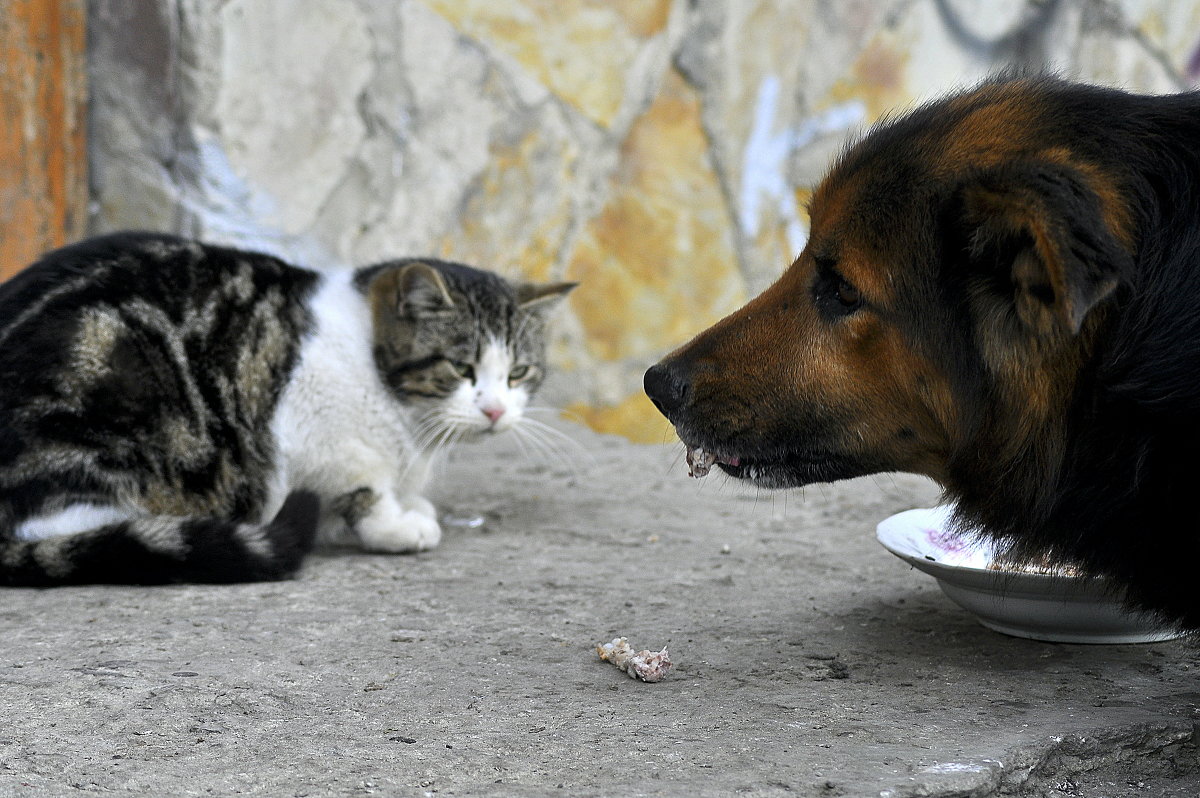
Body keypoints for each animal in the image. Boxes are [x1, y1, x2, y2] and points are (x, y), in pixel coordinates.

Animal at [0, 230, 576, 585]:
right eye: (461, 369)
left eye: (518, 373)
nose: (496, 411)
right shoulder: (320, 436)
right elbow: (362, 490)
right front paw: (396, 527)